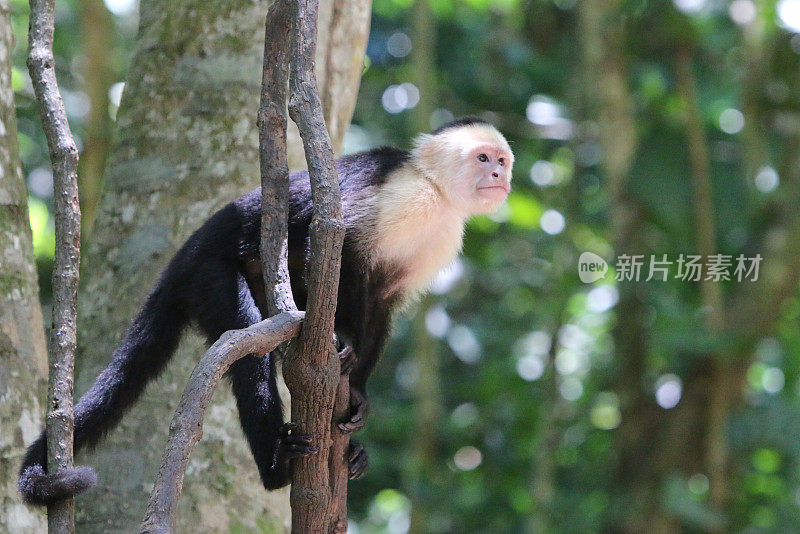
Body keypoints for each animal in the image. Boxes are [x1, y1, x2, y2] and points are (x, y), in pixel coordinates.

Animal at [20, 117, 520, 506]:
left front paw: (358, 393)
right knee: (248, 343)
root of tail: (185, 253)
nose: (501, 175)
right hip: (209, 273)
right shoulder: (403, 196)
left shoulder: (438, 239)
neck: (436, 191)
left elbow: (381, 302)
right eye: (483, 159)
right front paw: (342, 337)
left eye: (503, 160)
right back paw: (276, 466)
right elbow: (333, 244)